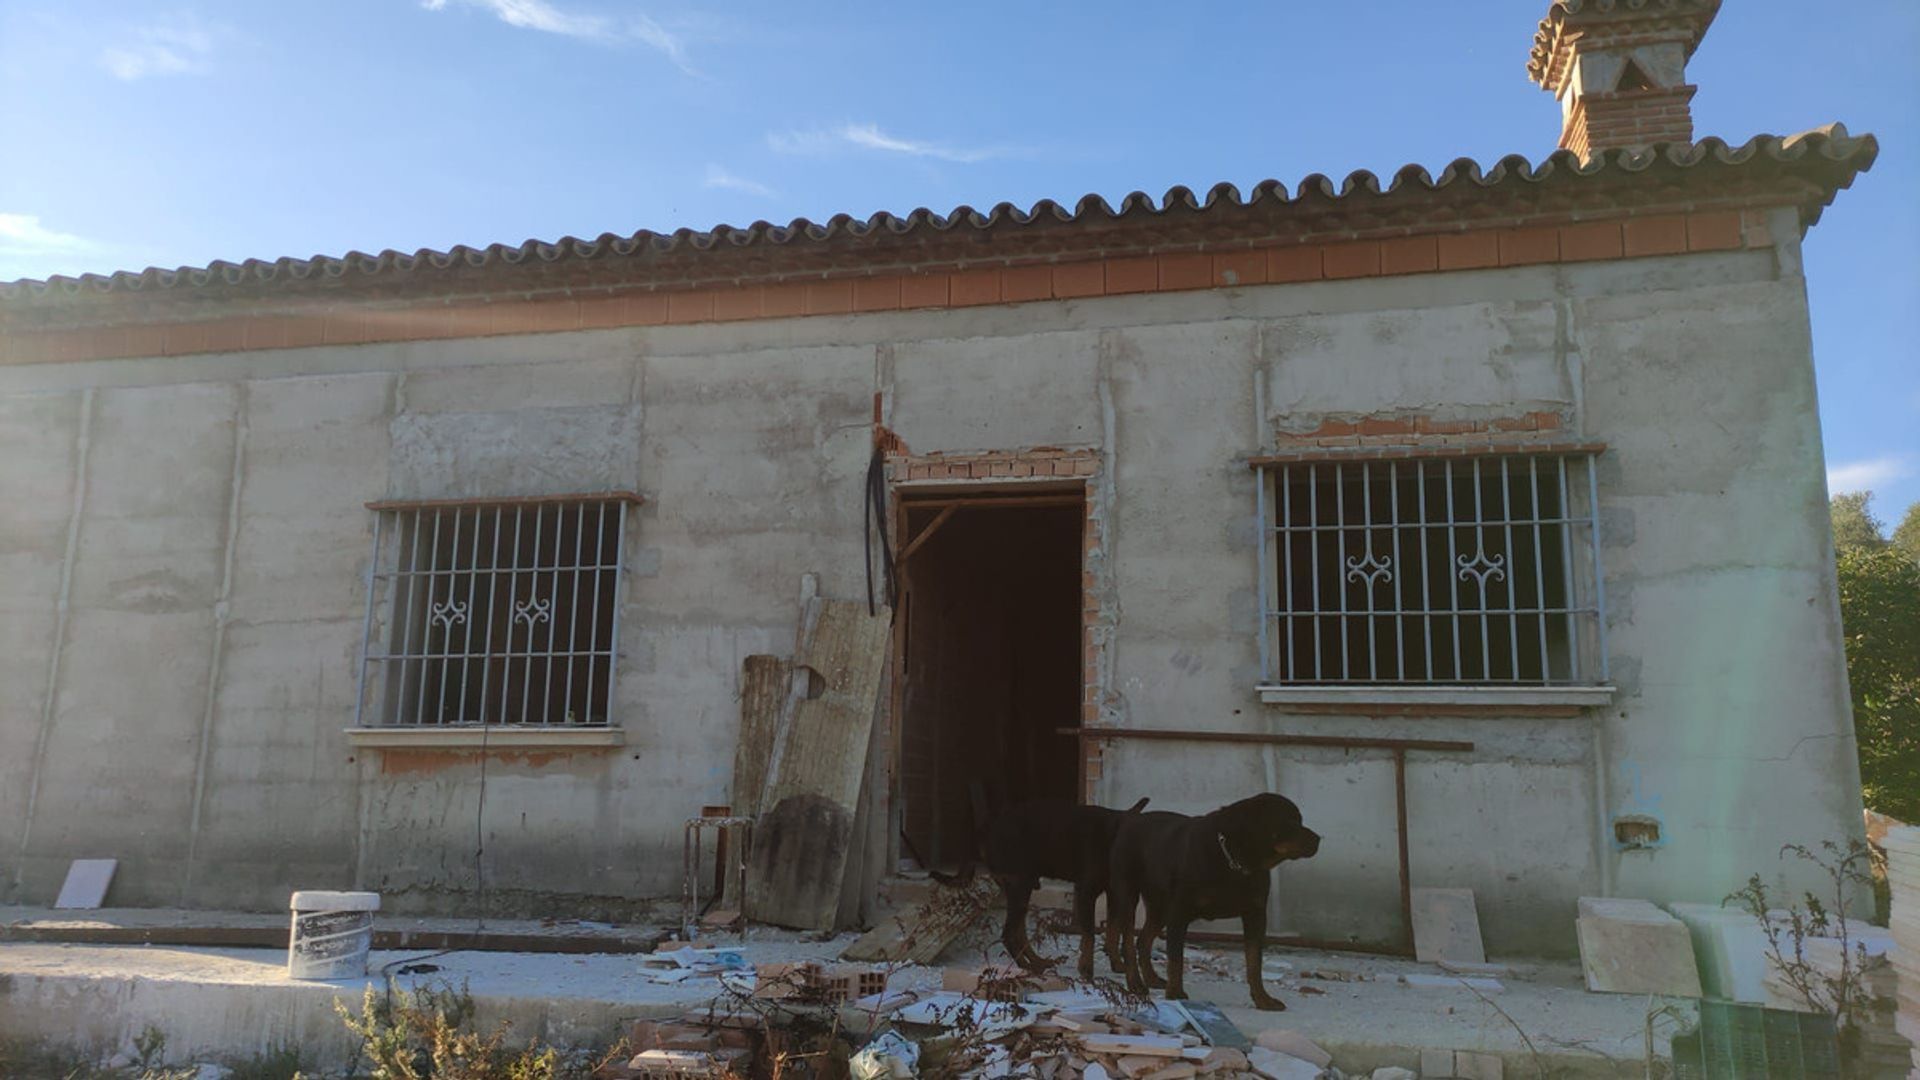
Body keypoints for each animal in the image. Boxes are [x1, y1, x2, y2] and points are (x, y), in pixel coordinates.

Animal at [933, 791, 1144, 976]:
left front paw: (1117, 964)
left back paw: (1037, 962)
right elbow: (1090, 934)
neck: (1111, 838)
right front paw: (1086, 969)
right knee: (1009, 934)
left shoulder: (1113, 893)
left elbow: (1113, 931)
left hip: (1019, 888)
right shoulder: (1086, 892)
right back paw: (1027, 967)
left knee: (1019, 932)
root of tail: (985, 827)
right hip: (1020, 885)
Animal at [1105, 791, 1313, 1006]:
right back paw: (1135, 983)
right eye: (1289, 821)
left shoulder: (1256, 914)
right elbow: (1176, 959)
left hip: (1160, 906)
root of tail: (1130, 820)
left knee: (1143, 941)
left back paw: (1152, 979)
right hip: (1128, 895)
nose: (1317, 839)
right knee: (1128, 943)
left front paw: (1263, 999)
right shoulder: (1179, 912)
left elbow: (1255, 962)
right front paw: (1175, 993)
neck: (1234, 861)